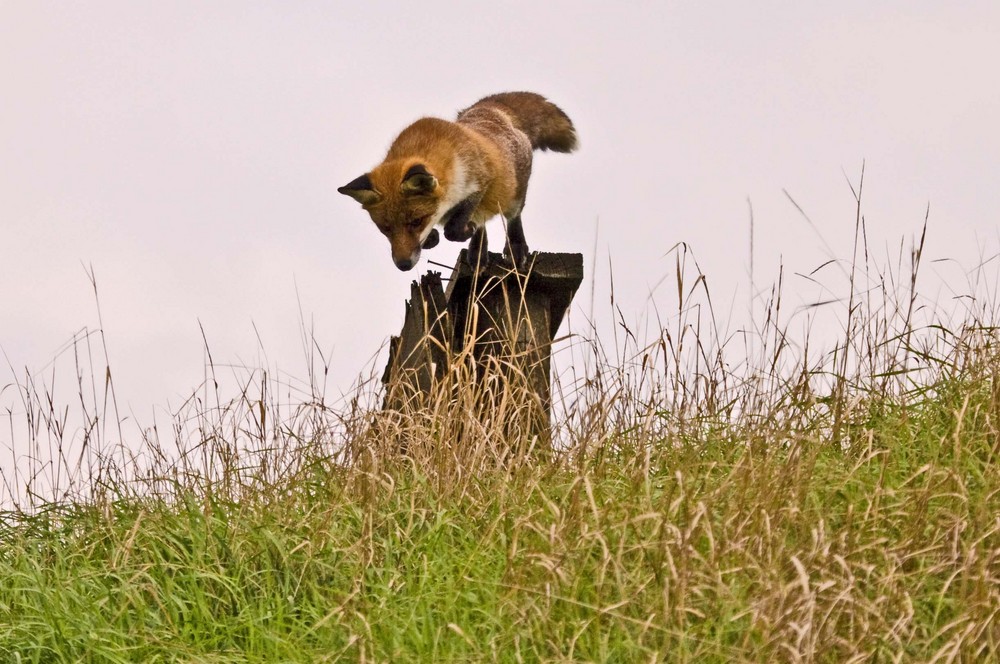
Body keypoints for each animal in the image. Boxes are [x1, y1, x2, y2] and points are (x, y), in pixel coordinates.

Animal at [340, 92, 580, 272]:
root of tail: (491, 108)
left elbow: (454, 229)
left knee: (512, 217)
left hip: (514, 196)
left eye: (416, 221)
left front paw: (463, 231)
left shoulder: (478, 184)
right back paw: (478, 251)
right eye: (385, 228)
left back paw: (515, 246)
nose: (404, 265)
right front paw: (435, 238)